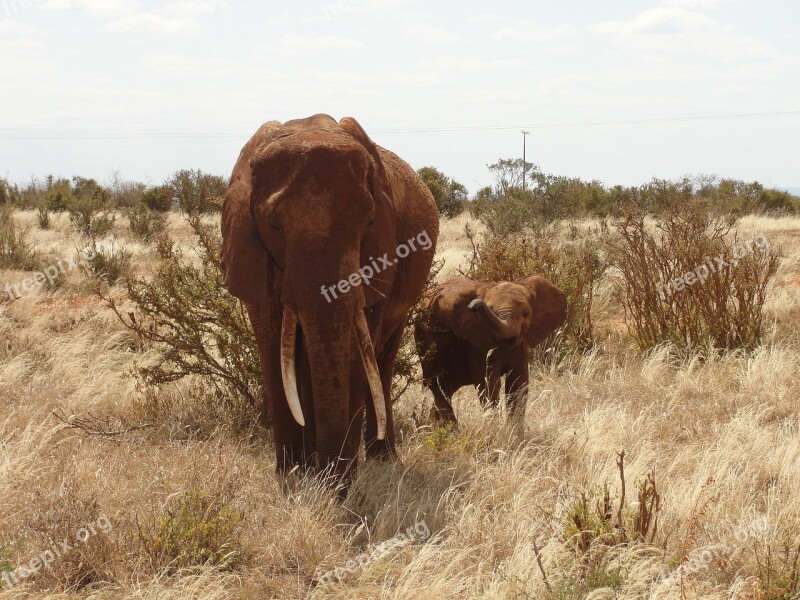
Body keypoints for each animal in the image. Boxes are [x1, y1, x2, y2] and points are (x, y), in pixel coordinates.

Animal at [220, 115, 438, 482]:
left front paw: (332, 480)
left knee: (383, 357)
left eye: (368, 222)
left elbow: (356, 351)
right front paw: (292, 476)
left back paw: (383, 459)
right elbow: (274, 349)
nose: (333, 481)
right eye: (274, 226)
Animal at [416, 276, 564, 422]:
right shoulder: (477, 345)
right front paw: (495, 429)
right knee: (437, 386)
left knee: (446, 388)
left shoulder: (521, 346)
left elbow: (518, 385)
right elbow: (489, 386)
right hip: (422, 339)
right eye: (490, 309)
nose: (472, 306)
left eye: (526, 313)